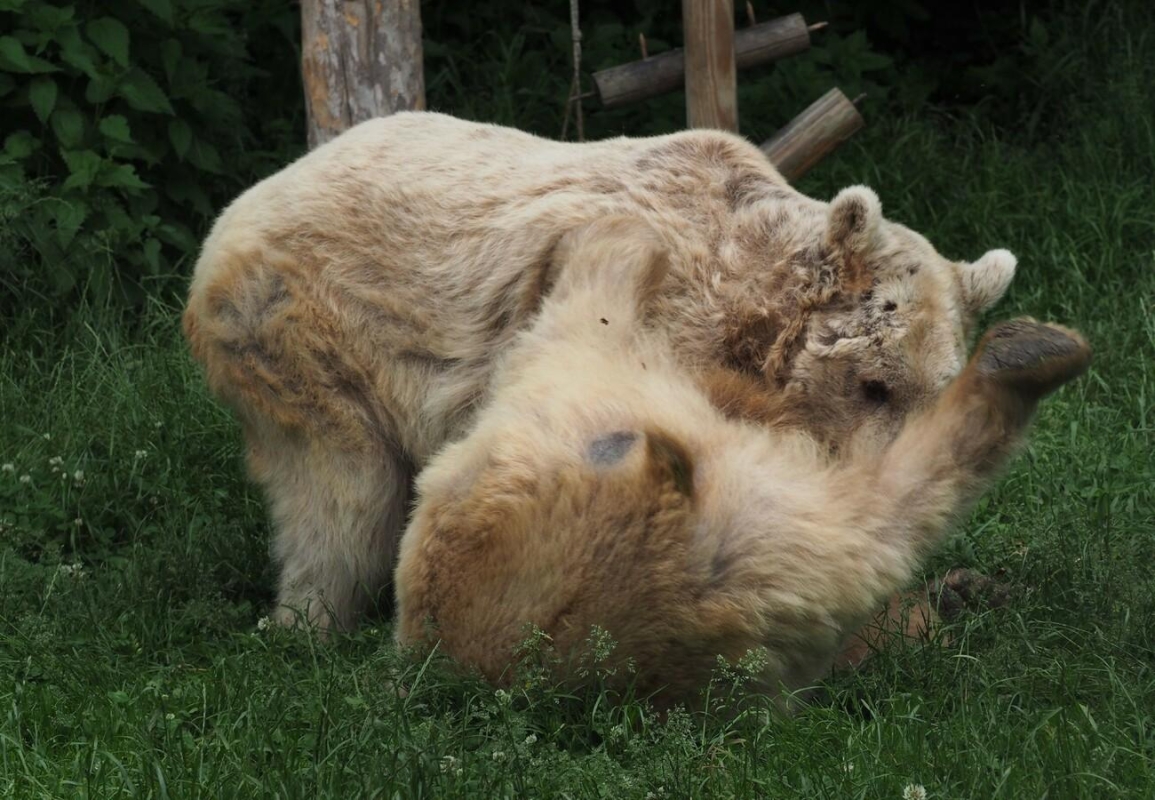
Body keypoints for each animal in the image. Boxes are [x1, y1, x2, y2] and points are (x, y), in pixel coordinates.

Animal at [182, 111, 1019, 630]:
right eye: (874, 384)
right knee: (337, 486)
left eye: (929, 391)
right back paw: (307, 619)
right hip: (305, 327)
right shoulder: (655, 338)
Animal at [393, 216, 1090, 706]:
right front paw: (948, 606)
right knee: (874, 518)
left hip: (550, 400)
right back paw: (1029, 354)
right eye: (871, 389)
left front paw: (968, 589)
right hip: (691, 525)